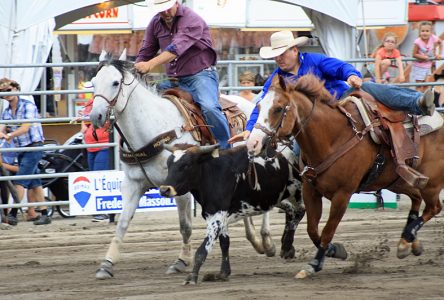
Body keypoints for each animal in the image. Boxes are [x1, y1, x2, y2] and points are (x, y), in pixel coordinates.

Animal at [248, 74, 442, 278]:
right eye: (259, 107)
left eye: (278, 109)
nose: (253, 143)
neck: (332, 138)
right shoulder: (311, 191)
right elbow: (312, 229)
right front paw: (335, 250)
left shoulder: (343, 194)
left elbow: (327, 230)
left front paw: (315, 264)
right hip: (397, 181)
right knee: (417, 198)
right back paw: (408, 243)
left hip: (431, 183)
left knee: (434, 207)